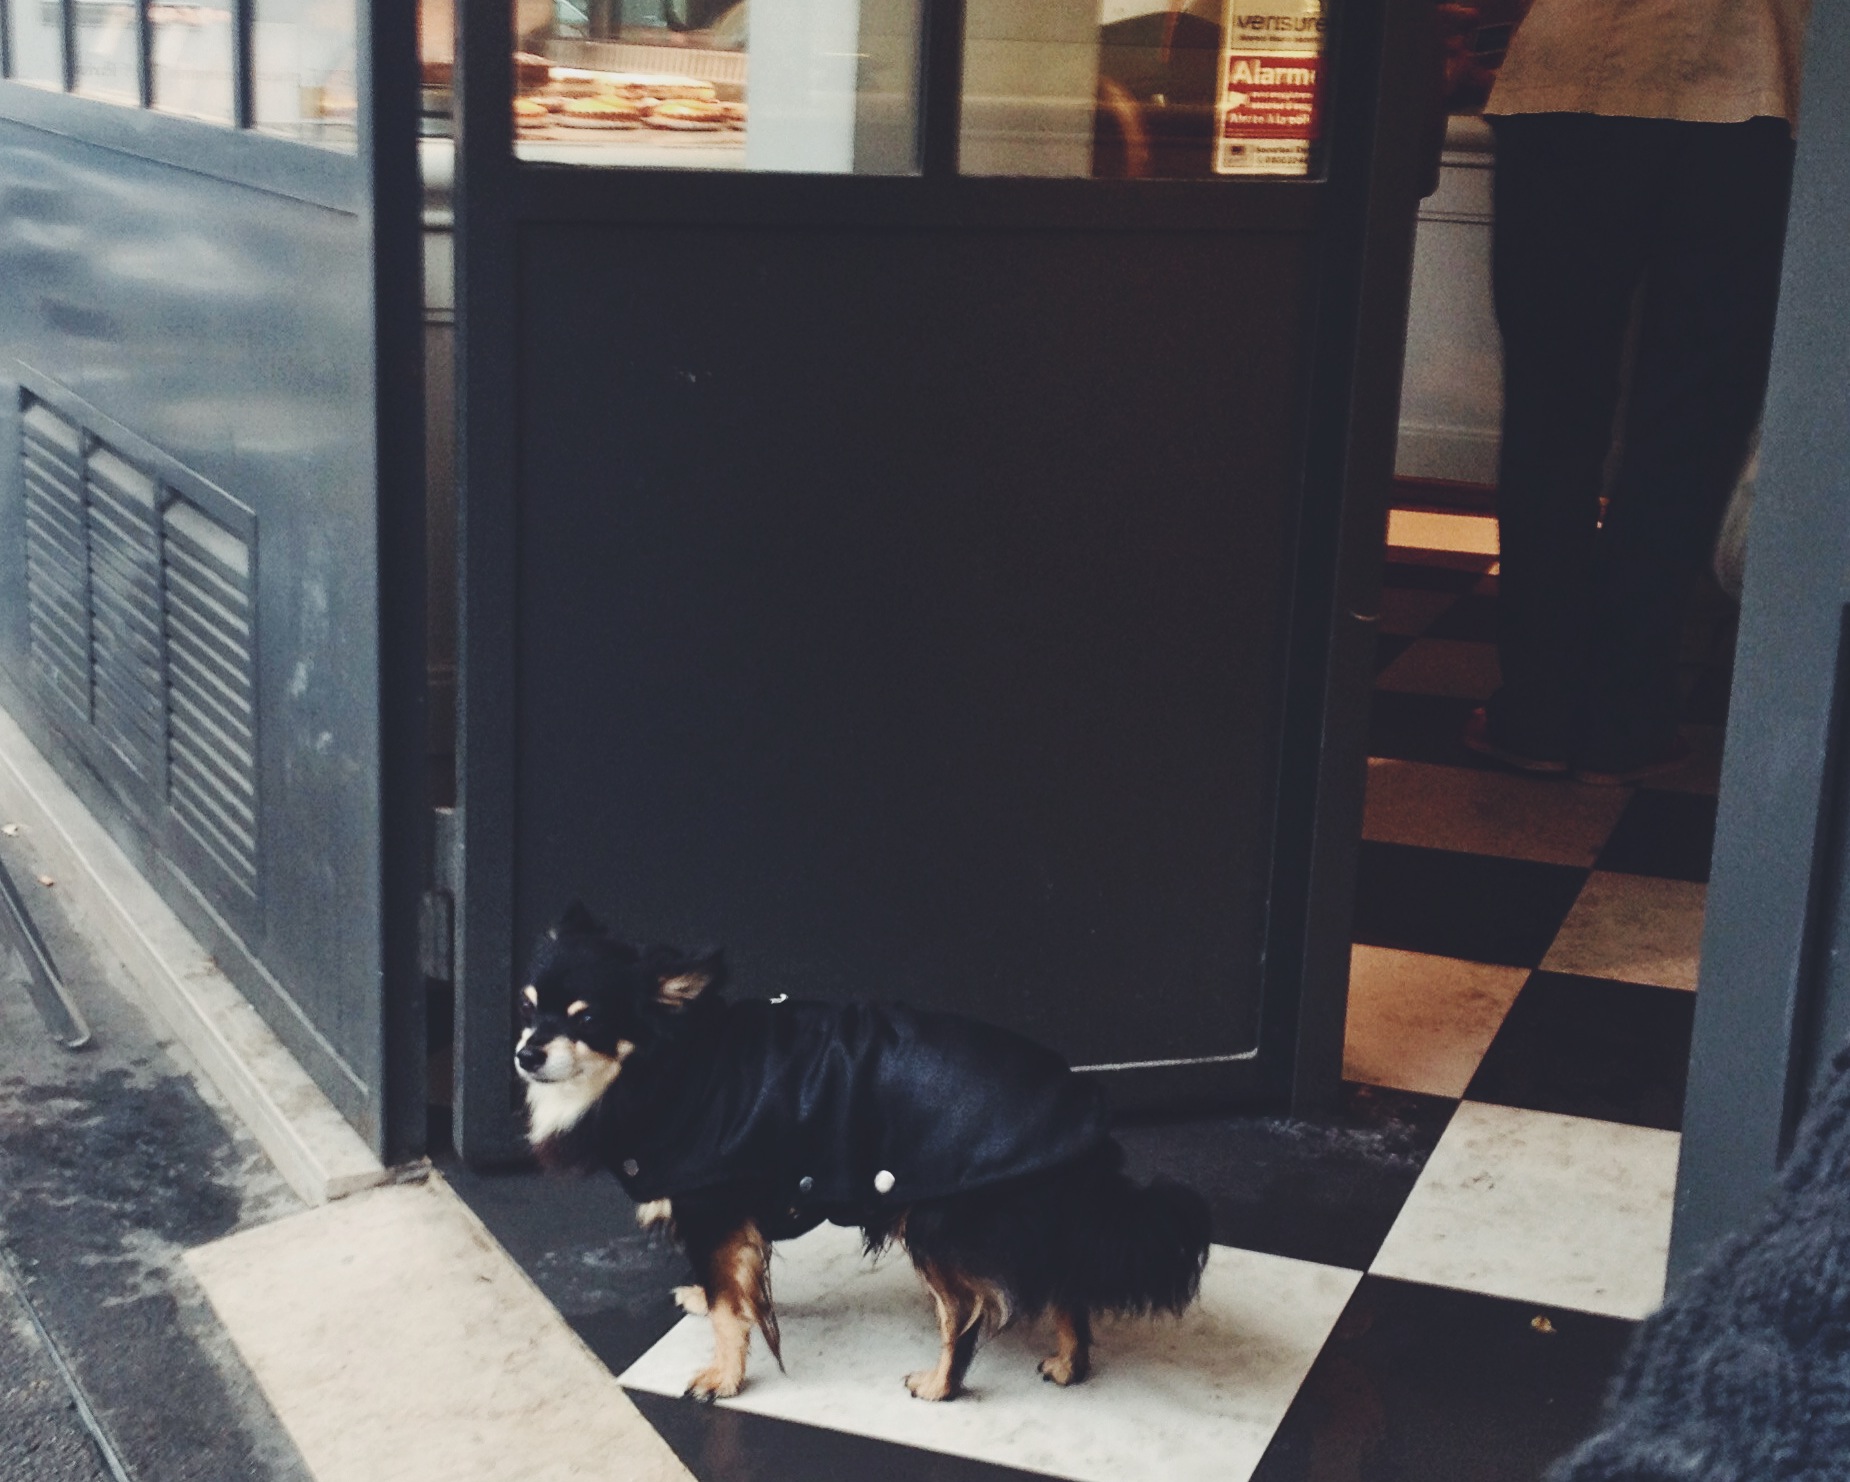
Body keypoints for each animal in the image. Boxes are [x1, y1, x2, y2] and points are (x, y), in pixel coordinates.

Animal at [515, 902, 1211, 1402]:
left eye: (586, 1020)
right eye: (526, 1008)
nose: (526, 1053)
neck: (672, 1063)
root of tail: (1084, 1114)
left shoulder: (714, 1210)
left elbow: (730, 1311)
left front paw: (724, 1378)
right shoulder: (739, 1220)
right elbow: (740, 1291)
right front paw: (705, 1302)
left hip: (936, 1226)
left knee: (967, 1312)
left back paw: (939, 1387)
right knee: (1064, 1283)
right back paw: (1069, 1365)